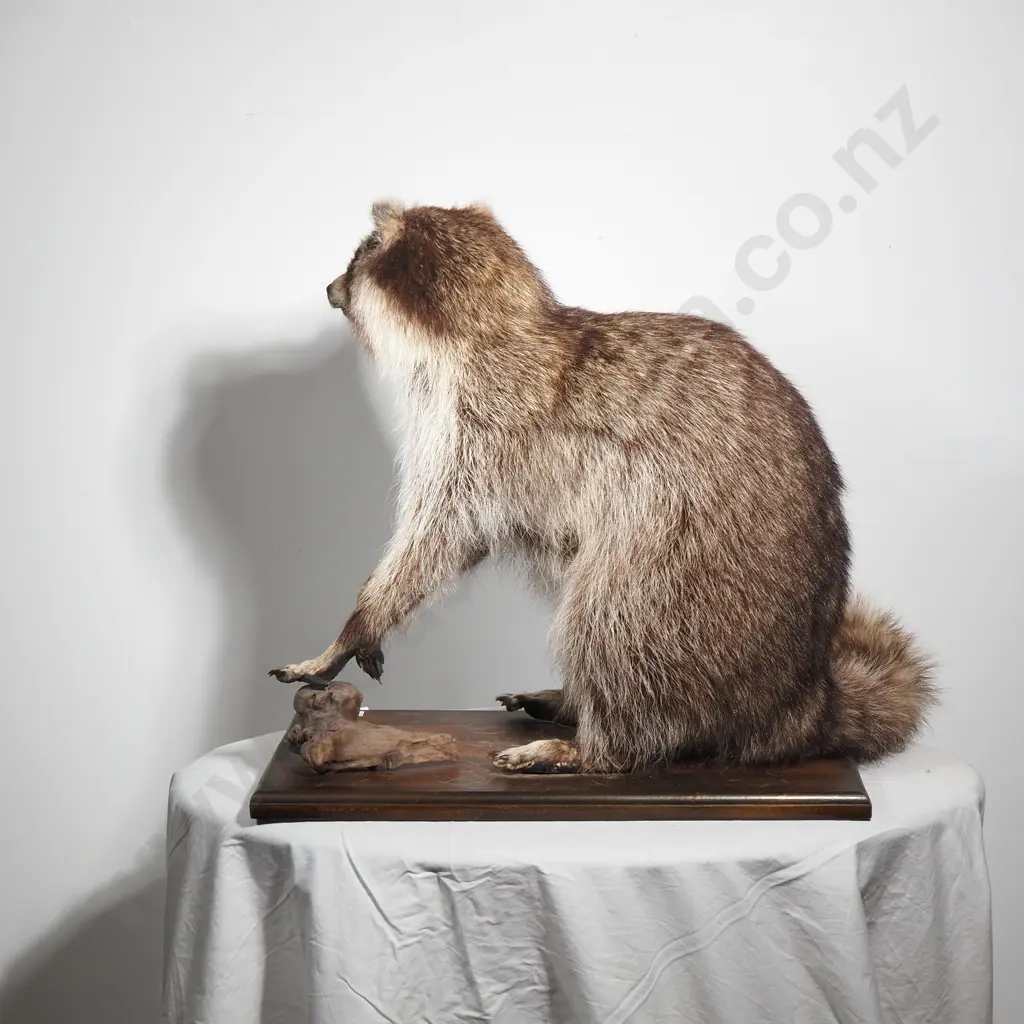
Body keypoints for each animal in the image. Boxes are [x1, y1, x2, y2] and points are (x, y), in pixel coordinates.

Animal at [270, 200, 935, 773]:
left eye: (358, 256)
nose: (329, 288)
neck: (496, 324)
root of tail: (803, 702)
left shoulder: (486, 429)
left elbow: (441, 533)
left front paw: (359, 621)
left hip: (684, 575)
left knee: (610, 611)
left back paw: (597, 745)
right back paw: (575, 704)